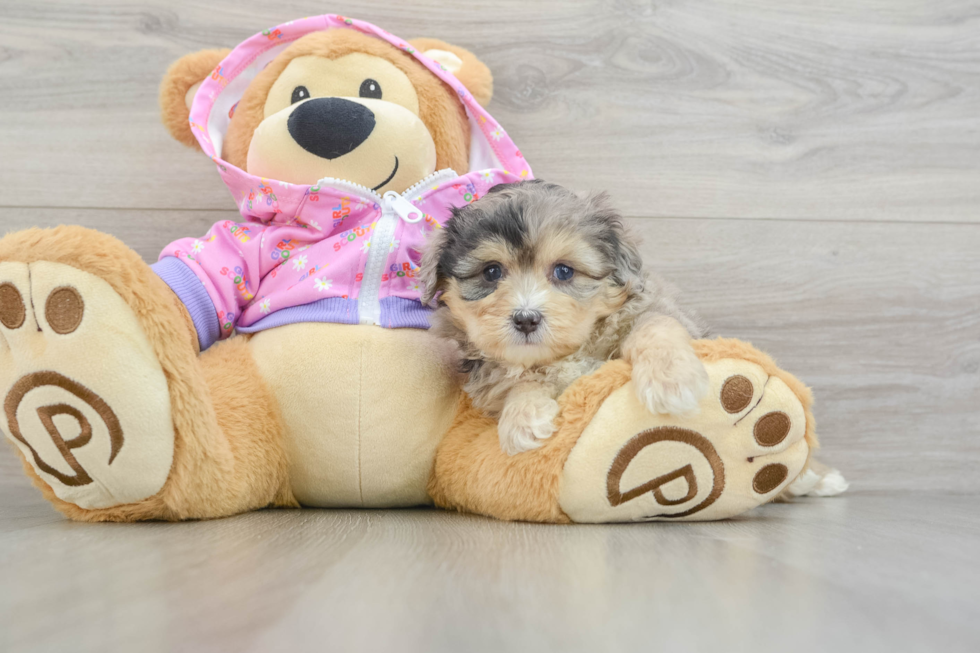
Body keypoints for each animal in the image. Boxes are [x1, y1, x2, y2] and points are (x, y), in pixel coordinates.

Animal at [418, 178, 708, 454]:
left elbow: (655, 324)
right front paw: (522, 416)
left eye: (564, 271)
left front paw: (671, 377)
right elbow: (518, 381)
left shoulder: (651, 305)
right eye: (491, 272)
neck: (565, 356)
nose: (526, 319)